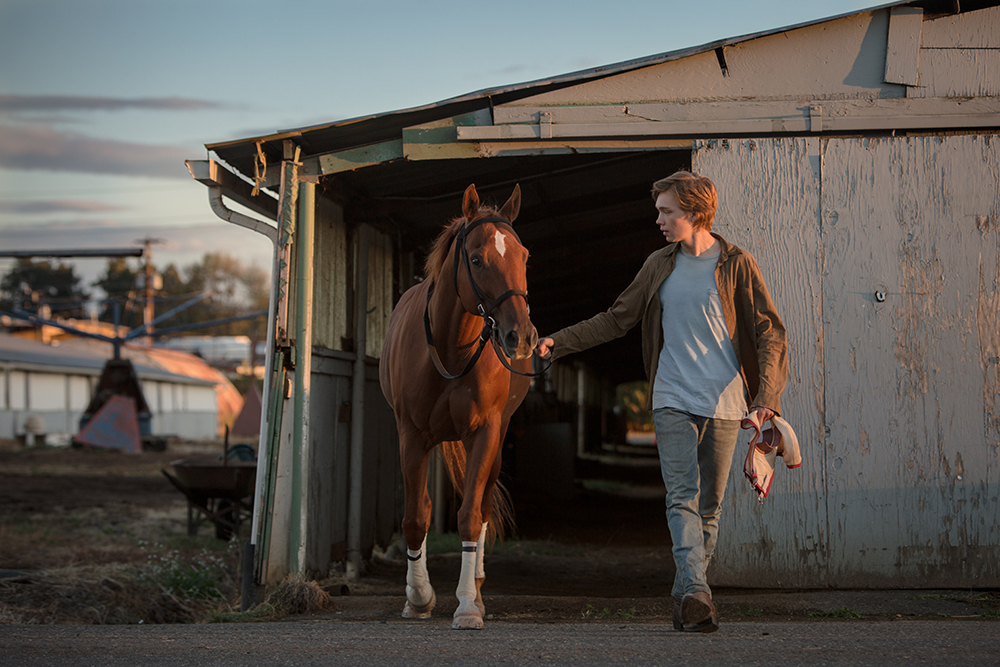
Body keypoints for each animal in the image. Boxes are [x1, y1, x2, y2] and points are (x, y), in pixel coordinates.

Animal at [380, 184, 540, 632]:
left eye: (524, 256)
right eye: (477, 259)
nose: (521, 336)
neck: (452, 349)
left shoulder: (485, 432)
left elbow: (470, 514)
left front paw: (468, 604)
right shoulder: (411, 436)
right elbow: (416, 517)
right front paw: (418, 597)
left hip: (495, 440)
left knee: (482, 506)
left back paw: (479, 588)